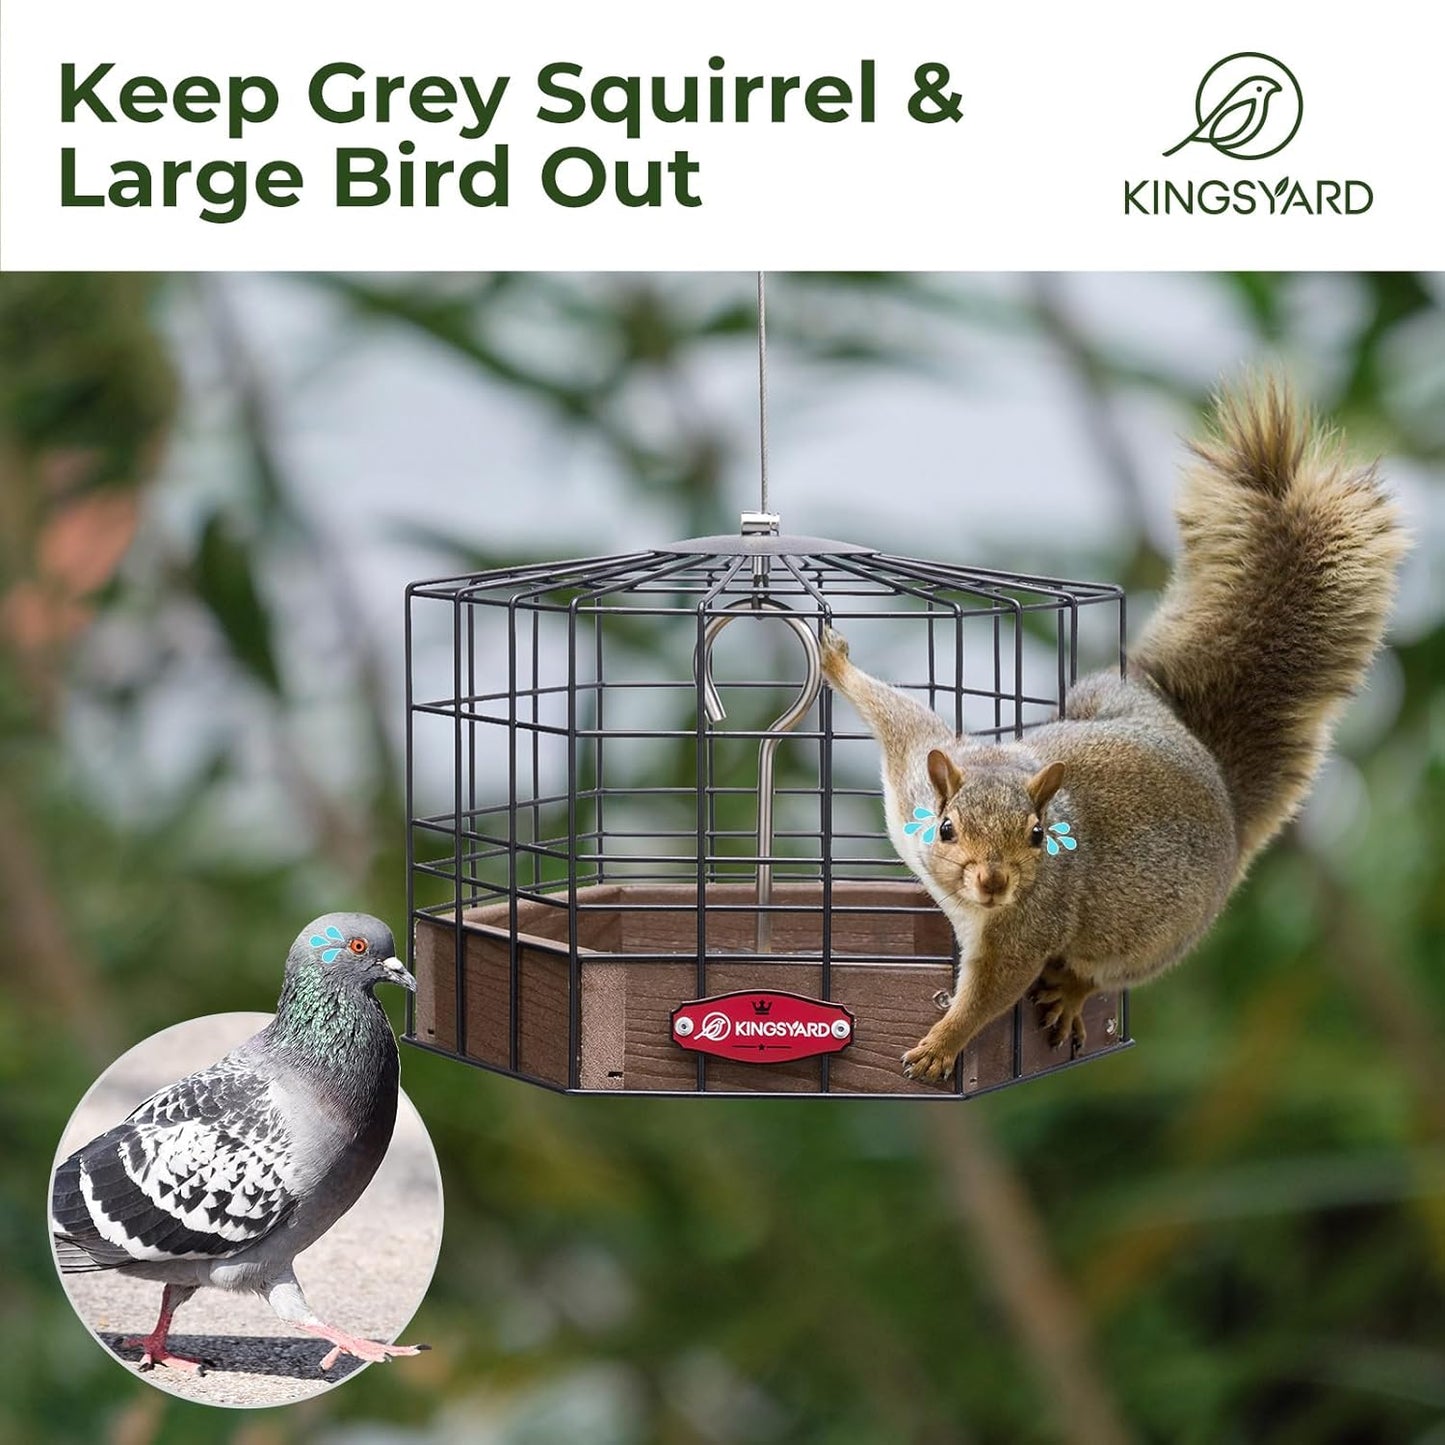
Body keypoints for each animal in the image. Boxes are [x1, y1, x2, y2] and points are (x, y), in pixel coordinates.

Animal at [820, 380, 1407, 1084]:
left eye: (1038, 836)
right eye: (946, 828)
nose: (994, 882)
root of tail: (1221, 793)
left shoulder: (1028, 928)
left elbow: (992, 991)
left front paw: (941, 1046)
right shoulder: (914, 765)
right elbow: (897, 713)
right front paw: (834, 660)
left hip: (1152, 937)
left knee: (1108, 971)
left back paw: (1074, 993)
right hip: (1100, 696)